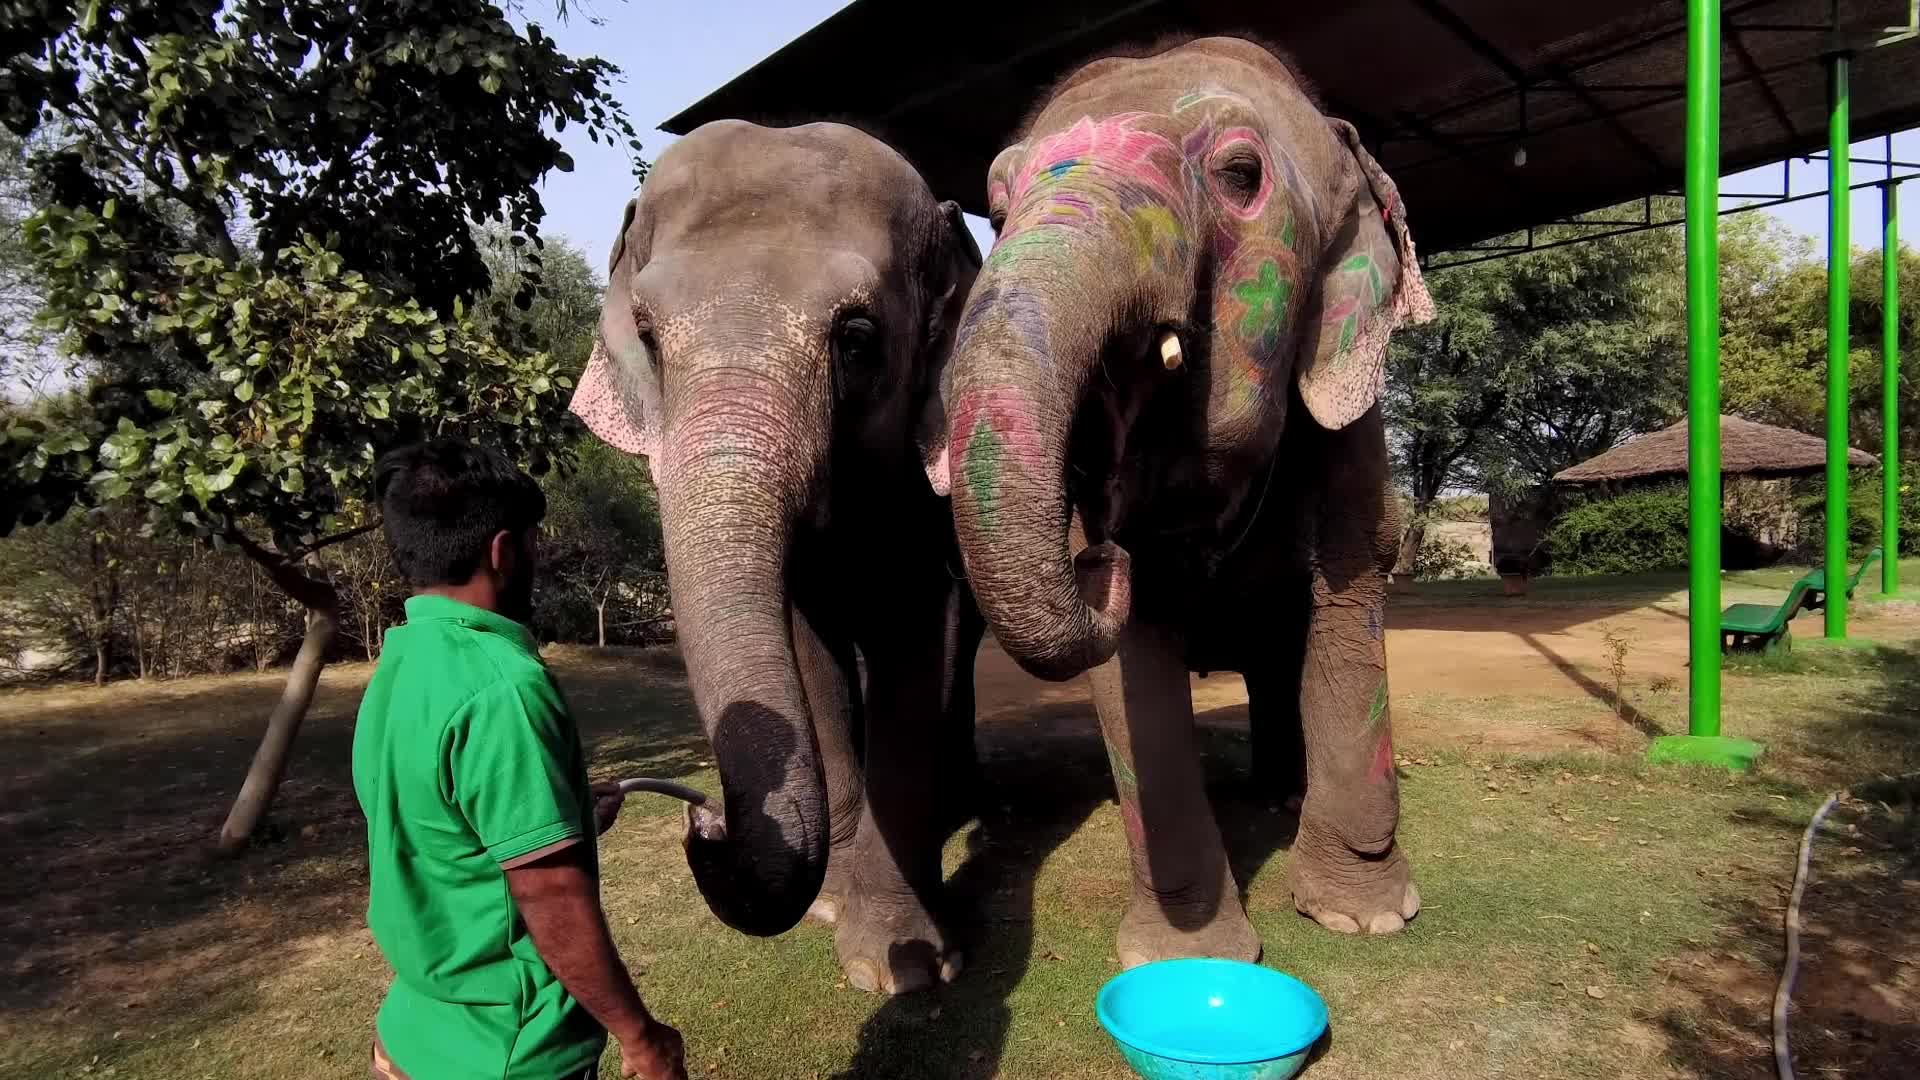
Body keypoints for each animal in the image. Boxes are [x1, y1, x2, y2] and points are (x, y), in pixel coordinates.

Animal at [569, 120, 985, 994]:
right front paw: (834, 907)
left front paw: (905, 965)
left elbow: (918, 638)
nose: (704, 820)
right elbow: (807, 651)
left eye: (857, 340)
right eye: (647, 337)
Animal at [925, 37, 1435, 967]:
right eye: (998, 203)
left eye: (1241, 174)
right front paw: (1187, 958)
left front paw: (1365, 915)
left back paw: (1281, 798)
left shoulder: (1353, 433)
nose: (1099, 554)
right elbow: (1136, 662)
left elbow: (1348, 591)